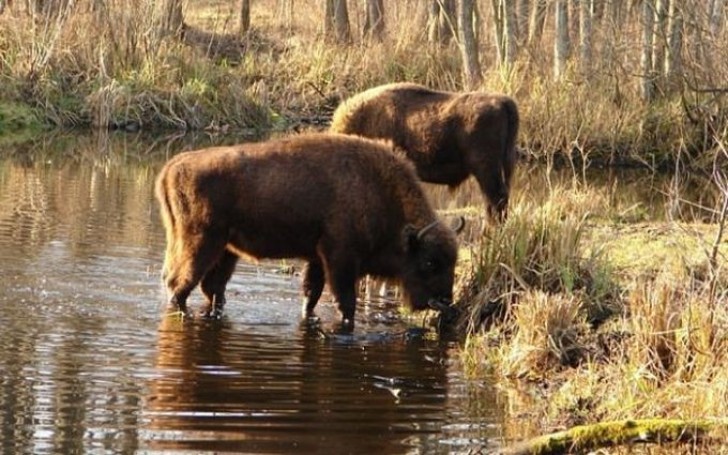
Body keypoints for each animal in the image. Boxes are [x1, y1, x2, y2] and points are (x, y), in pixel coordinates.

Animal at [156, 133, 464, 328]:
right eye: (429, 262)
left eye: (453, 262)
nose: (445, 302)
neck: (377, 190)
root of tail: (172, 167)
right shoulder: (340, 259)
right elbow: (345, 301)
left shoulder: (317, 258)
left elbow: (310, 294)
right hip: (200, 244)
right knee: (179, 285)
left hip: (226, 250)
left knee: (212, 288)